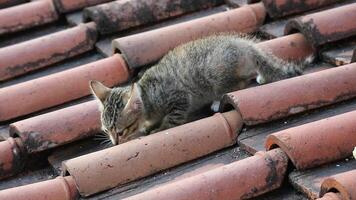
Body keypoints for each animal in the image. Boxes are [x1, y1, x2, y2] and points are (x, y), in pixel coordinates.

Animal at [90, 34, 310, 144]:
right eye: (107, 130)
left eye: (121, 131)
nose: (114, 143)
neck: (147, 96)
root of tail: (244, 45)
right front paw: (150, 126)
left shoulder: (179, 97)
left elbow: (172, 119)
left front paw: (158, 129)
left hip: (216, 73)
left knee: (238, 84)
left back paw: (218, 100)